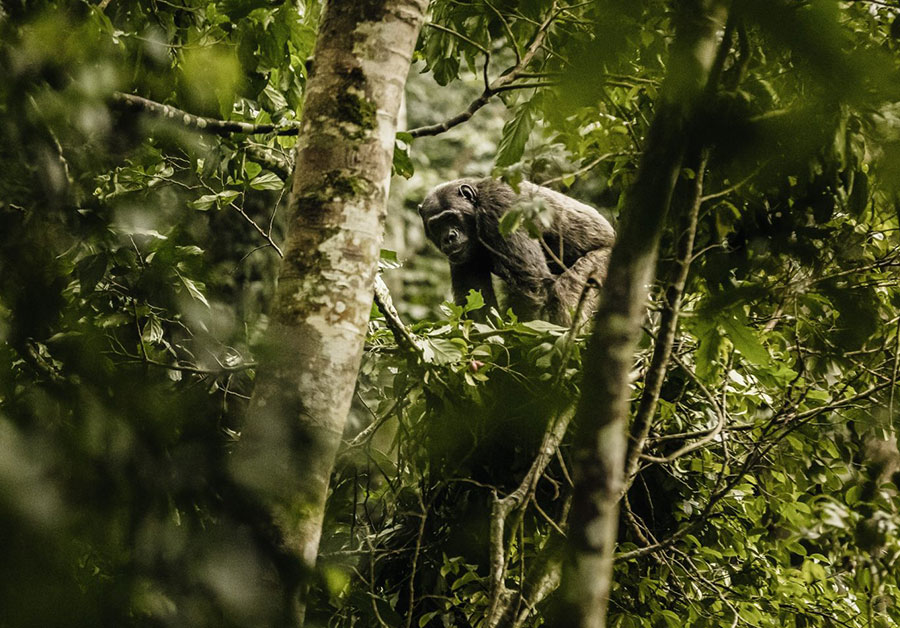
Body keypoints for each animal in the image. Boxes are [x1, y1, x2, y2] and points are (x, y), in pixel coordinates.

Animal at [418, 178, 615, 325]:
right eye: (436, 225)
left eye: (450, 218)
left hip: (603, 261)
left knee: (567, 291)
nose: (449, 237)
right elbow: (476, 299)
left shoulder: (501, 208)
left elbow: (529, 284)